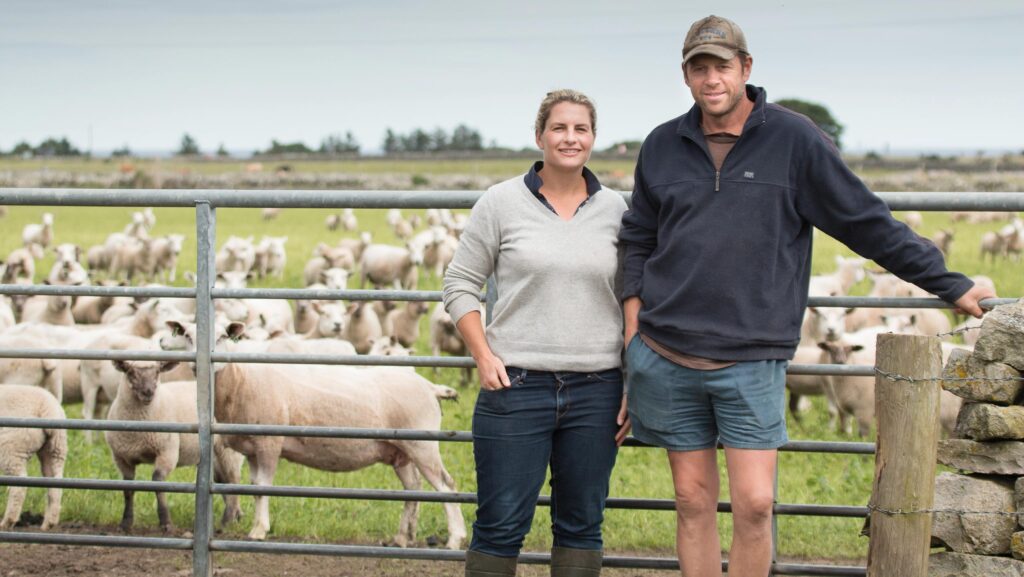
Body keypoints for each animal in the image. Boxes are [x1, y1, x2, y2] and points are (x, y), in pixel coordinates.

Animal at [0, 385, 67, 528]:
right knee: (55, 483)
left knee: (19, 485)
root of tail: (47, 408)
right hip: (56, 448)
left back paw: (7, 522)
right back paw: (49, 523)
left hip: (10, 448)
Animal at [106, 360, 243, 532]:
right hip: (217, 456)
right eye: (130, 372)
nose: (148, 392)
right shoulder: (121, 458)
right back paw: (236, 517)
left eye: (157, 372)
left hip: (229, 452)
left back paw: (226, 521)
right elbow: (128, 489)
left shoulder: (167, 451)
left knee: (233, 480)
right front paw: (125, 523)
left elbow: (158, 482)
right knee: (223, 482)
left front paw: (166, 522)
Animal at [161, 323, 466, 549]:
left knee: (447, 486)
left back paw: (454, 539)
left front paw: (259, 530)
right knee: (413, 488)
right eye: (186, 335)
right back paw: (402, 538)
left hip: (423, 445)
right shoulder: (252, 449)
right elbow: (254, 487)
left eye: (223, 336)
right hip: (401, 451)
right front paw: (257, 526)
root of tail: (430, 386)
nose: (199, 366)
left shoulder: (269, 443)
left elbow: (263, 488)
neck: (240, 381)